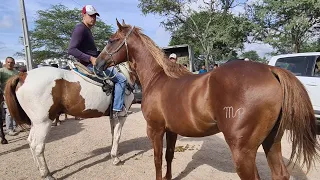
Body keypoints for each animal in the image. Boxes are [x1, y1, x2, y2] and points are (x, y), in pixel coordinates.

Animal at [4, 64, 136, 179]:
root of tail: (23, 76)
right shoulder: (122, 116)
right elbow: (117, 135)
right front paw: (115, 158)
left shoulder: (113, 116)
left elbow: (113, 134)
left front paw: (115, 152)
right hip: (43, 123)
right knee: (38, 146)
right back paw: (47, 174)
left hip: (35, 123)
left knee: (31, 142)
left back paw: (39, 169)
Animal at [95, 20, 320, 179]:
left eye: (111, 40)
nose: (97, 64)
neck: (158, 78)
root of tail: (270, 70)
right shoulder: (171, 130)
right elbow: (169, 156)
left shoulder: (155, 129)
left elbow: (158, 159)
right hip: (272, 141)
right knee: (280, 174)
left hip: (243, 152)